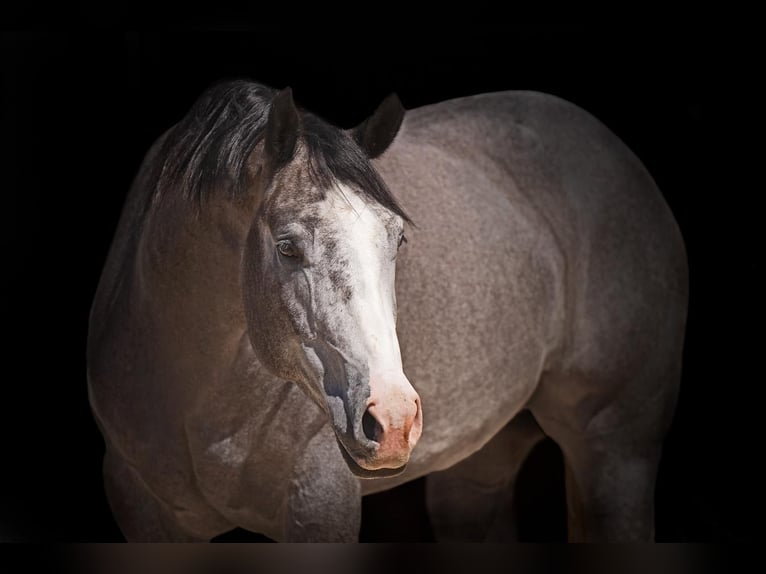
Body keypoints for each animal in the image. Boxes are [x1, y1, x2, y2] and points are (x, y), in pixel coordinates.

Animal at [85, 79, 688, 544]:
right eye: (287, 247)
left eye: (396, 239)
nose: (393, 420)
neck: (196, 402)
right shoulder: (142, 510)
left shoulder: (318, 506)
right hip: (477, 470)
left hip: (617, 454)